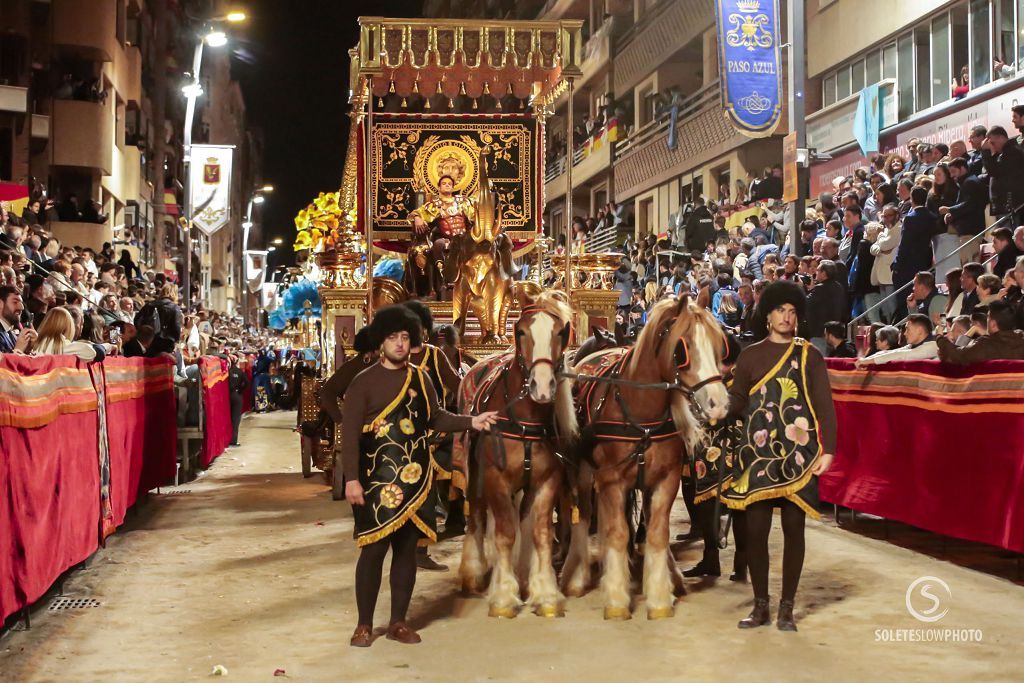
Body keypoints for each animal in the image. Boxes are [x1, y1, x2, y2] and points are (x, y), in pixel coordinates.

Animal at [460, 290, 581, 618]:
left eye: (560, 332)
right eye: (522, 331)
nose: (542, 386)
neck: (525, 421)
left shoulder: (547, 481)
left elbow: (539, 531)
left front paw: (545, 593)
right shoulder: (495, 479)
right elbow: (504, 533)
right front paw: (503, 597)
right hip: (473, 475)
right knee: (477, 517)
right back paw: (474, 573)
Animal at [569, 294, 729, 618]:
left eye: (718, 344)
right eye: (682, 348)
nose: (718, 403)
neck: (641, 415)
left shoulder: (666, 480)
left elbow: (656, 533)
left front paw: (659, 597)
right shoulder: (611, 480)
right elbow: (617, 532)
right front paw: (617, 599)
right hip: (584, 471)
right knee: (585, 515)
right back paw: (578, 577)